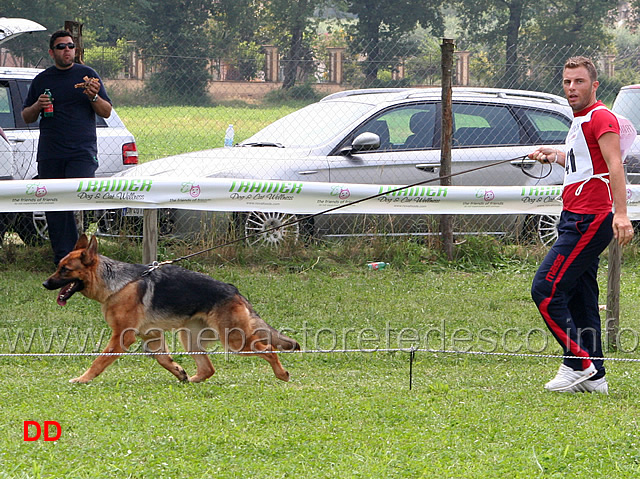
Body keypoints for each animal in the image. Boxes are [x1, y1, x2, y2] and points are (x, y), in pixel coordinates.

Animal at [45, 234, 300, 384]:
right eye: (58, 267)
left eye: (65, 269)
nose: (45, 284)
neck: (117, 283)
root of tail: (234, 290)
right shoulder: (152, 336)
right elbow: (163, 359)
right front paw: (179, 371)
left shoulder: (122, 337)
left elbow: (99, 361)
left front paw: (83, 379)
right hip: (190, 338)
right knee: (208, 369)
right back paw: (192, 380)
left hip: (234, 340)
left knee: (269, 349)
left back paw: (282, 374)